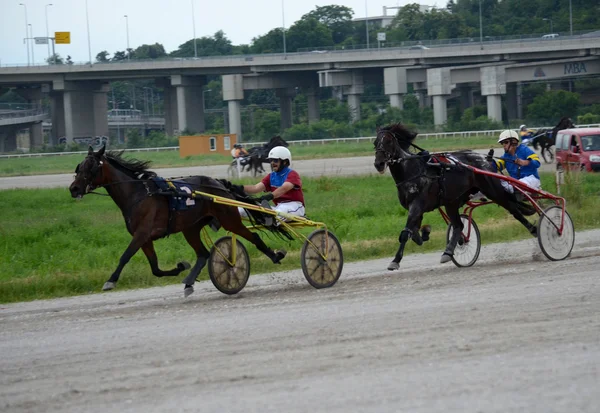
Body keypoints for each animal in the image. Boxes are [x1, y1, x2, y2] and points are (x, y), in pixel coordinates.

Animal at [69, 145, 292, 296]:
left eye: (91, 167)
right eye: (79, 166)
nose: (73, 188)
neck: (139, 194)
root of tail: (219, 184)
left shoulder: (141, 233)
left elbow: (125, 256)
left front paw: (110, 281)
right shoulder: (145, 238)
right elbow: (155, 268)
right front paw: (180, 267)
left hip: (229, 219)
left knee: (253, 236)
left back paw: (275, 255)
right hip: (190, 228)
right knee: (203, 254)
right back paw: (189, 281)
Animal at [372, 122, 536, 270]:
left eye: (388, 141)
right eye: (375, 143)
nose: (378, 164)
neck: (412, 171)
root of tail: (486, 159)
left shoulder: (417, 205)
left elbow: (406, 233)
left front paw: (395, 261)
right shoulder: (416, 208)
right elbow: (413, 233)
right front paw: (425, 232)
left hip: (493, 190)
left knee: (514, 209)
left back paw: (534, 230)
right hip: (452, 201)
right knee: (458, 225)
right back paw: (449, 251)